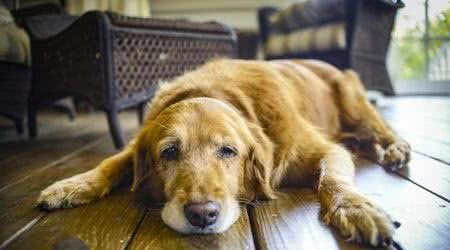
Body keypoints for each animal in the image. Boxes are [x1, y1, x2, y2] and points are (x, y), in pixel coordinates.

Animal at [37, 59, 410, 248]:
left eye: (228, 150)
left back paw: (396, 149)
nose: (202, 214)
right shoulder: (136, 146)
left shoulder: (325, 150)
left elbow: (332, 180)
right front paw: (71, 185)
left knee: (380, 128)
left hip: (354, 101)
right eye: (169, 152)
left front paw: (357, 209)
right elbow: (110, 162)